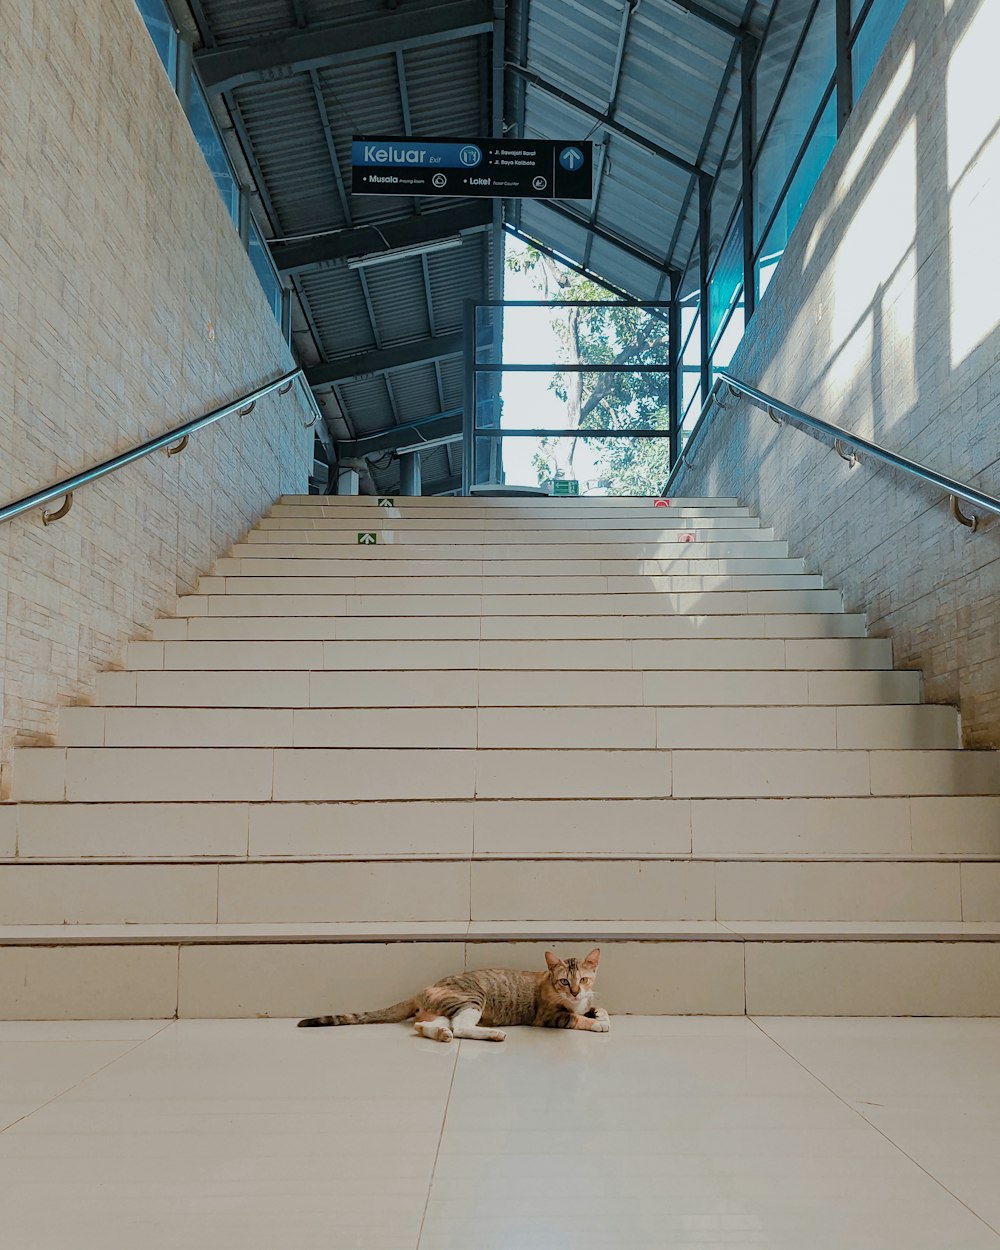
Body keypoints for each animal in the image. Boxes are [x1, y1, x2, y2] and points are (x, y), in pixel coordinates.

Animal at [297, 945, 610, 1045]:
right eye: (563, 981)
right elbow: (574, 1018)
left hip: (446, 1008)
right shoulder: (547, 1016)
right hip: (471, 999)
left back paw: (440, 1034)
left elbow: (597, 1007)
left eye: (583, 979)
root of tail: (422, 989)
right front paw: (596, 1023)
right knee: (461, 1027)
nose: (575, 991)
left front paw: (601, 1014)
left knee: (423, 1025)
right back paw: (492, 1034)